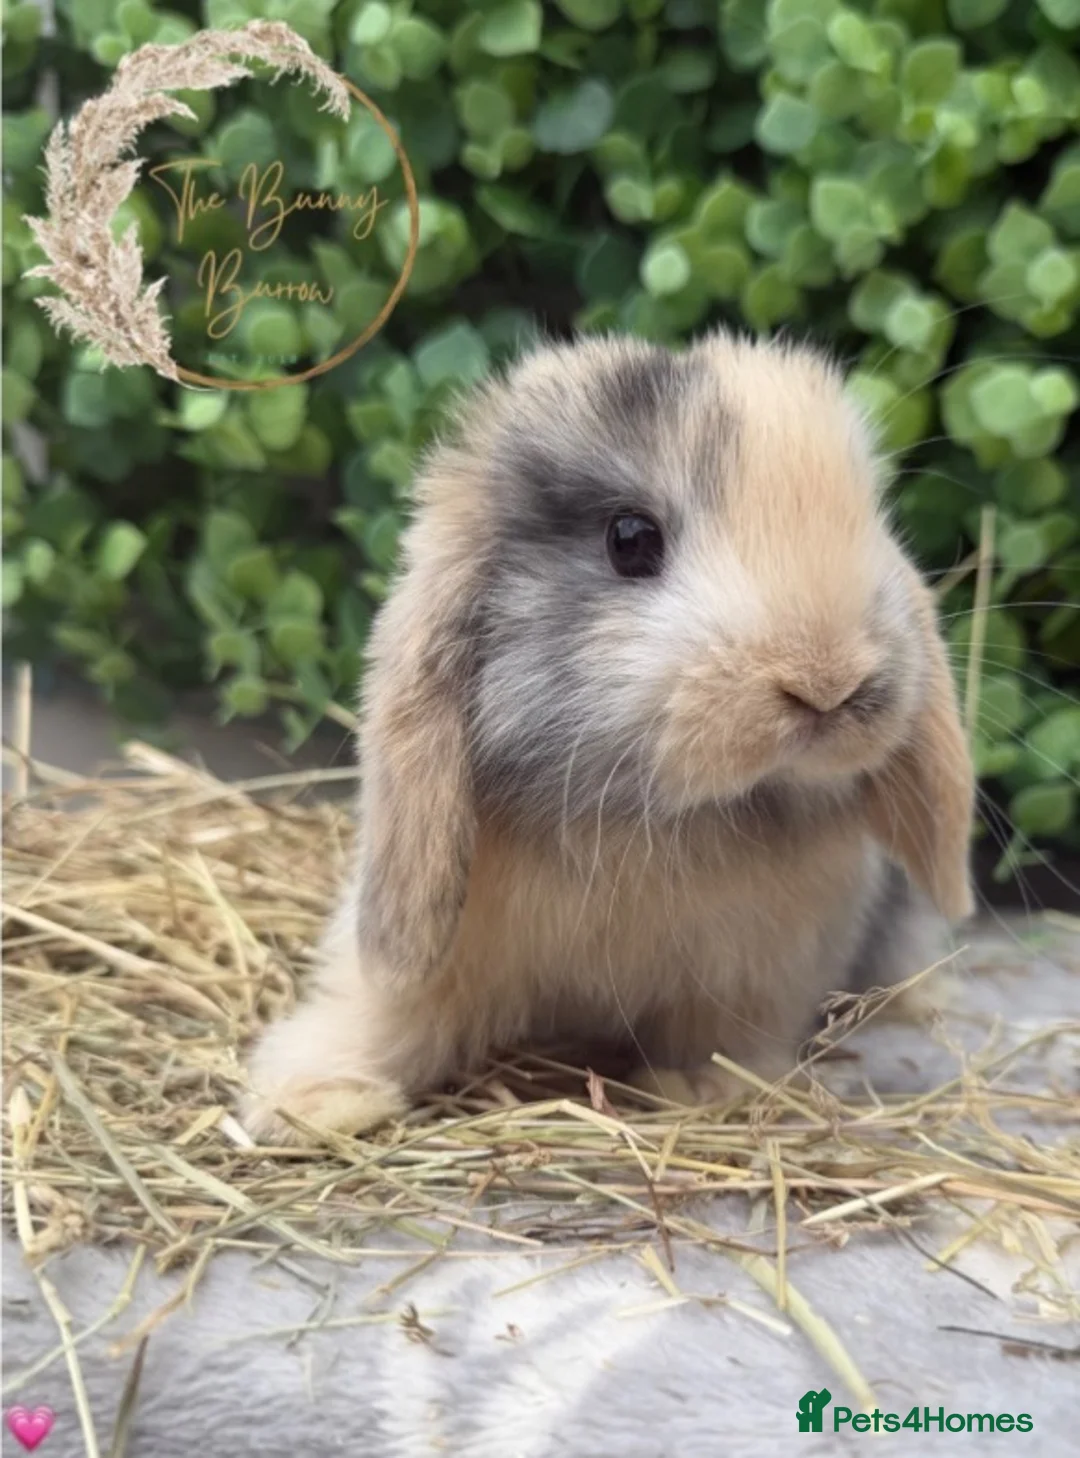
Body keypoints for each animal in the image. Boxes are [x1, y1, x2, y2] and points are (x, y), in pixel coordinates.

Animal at [240, 329, 975, 1143]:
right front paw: (312, 1102)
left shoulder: (751, 975)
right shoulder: (446, 957)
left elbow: (720, 1037)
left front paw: (697, 1090)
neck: (651, 820)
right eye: (630, 539)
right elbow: (386, 1016)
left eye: (871, 519)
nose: (827, 680)